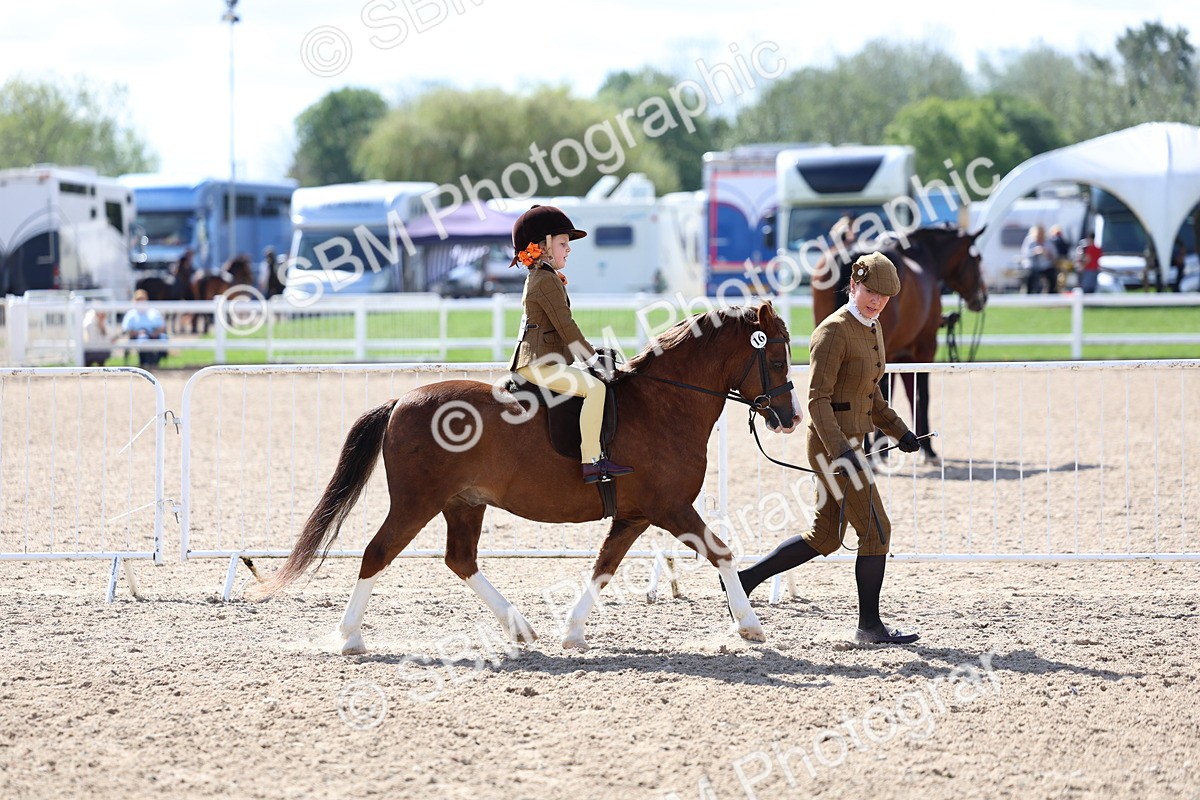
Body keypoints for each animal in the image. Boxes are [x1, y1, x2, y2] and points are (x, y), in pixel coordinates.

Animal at [247, 302, 801, 654]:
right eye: (776, 358)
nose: (791, 418)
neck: (666, 401)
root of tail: (401, 400)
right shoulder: (670, 508)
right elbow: (722, 552)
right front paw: (751, 627)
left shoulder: (635, 515)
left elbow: (604, 567)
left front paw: (572, 633)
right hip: (416, 503)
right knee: (377, 554)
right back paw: (350, 638)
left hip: (463, 503)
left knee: (460, 560)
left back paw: (520, 629)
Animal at [811, 225, 988, 464]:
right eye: (976, 259)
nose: (982, 297)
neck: (924, 257)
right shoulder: (922, 348)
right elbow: (919, 395)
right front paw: (927, 450)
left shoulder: (897, 354)